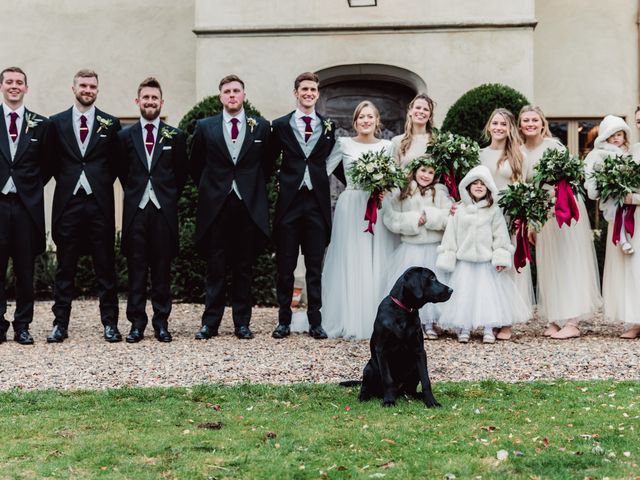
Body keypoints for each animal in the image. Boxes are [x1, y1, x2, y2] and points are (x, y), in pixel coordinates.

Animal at [358, 268, 452, 406]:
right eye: (432, 278)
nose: (451, 290)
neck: (403, 311)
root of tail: (400, 391)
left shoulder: (420, 351)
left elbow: (426, 380)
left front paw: (431, 401)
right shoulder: (381, 350)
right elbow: (387, 379)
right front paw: (389, 401)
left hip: (414, 369)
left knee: (411, 390)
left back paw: (417, 396)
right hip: (369, 368)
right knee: (365, 386)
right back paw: (363, 397)